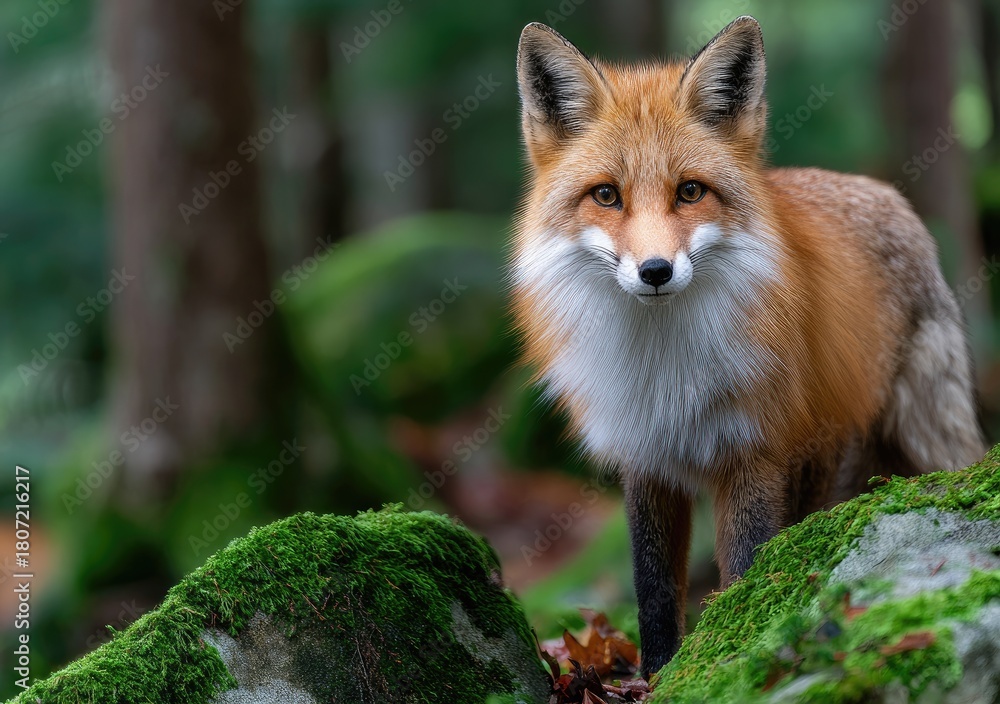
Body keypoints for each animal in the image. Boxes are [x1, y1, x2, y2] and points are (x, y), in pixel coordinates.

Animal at [511, 16, 986, 677]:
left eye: (690, 192)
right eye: (606, 196)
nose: (655, 271)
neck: (668, 370)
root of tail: (887, 194)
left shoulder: (754, 450)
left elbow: (744, 569)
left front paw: (731, 654)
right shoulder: (645, 457)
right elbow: (654, 590)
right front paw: (658, 675)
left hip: (855, 438)